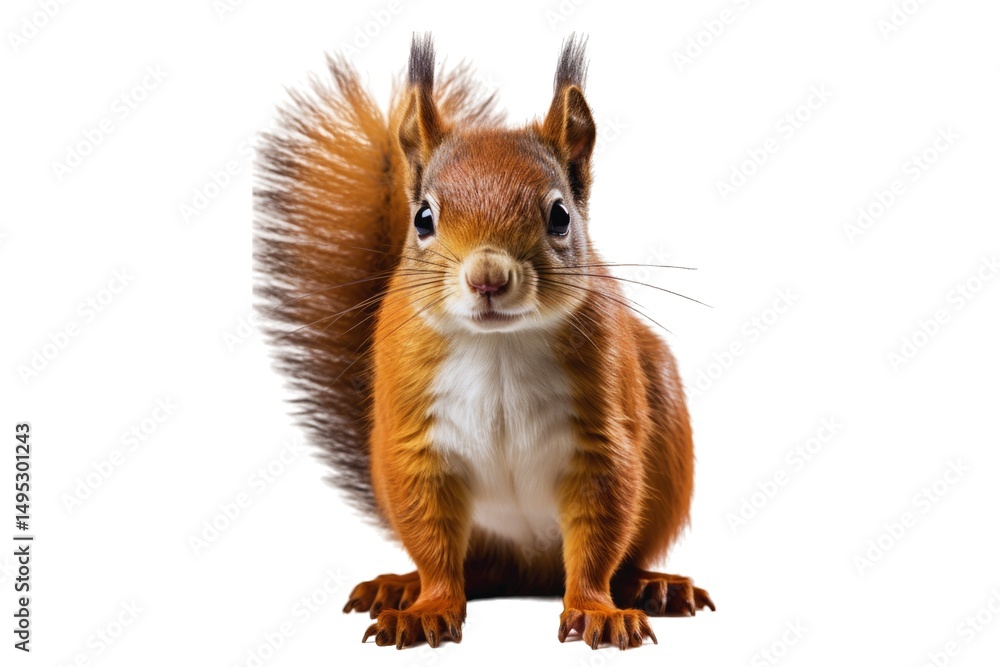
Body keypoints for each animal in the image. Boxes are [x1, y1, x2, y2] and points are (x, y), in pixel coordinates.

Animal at [254, 34, 714, 651]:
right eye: (423, 218)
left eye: (560, 215)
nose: (488, 278)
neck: (498, 346)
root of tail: (529, 571)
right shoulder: (415, 445)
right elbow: (432, 542)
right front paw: (428, 607)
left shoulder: (603, 434)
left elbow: (600, 534)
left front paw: (596, 609)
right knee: (465, 565)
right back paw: (400, 586)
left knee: (623, 554)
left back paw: (651, 585)